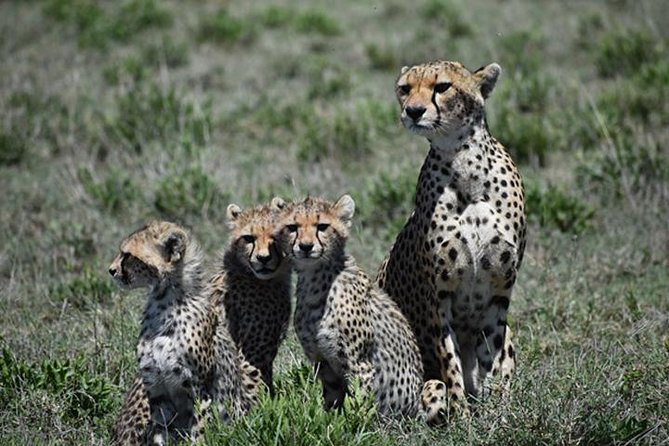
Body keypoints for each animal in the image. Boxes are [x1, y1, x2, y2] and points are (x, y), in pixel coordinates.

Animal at [109, 221, 262, 445]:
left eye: (127, 255)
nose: (111, 270)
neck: (164, 302)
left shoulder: (199, 390)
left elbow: (199, 430)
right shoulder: (157, 389)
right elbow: (158, 432)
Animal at [274, 194, 427, 419]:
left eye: (322, 226)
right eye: (292, 227)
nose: (305, 246)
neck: (316, 278)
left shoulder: (360, 365)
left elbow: (360, 406)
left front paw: (357, 424)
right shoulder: (323, 363)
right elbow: (333, 401)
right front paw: (329, 420)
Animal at [376, 60, 526, 419]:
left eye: (442, 87)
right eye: (404, 88)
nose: (413, 111)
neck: (464, 165)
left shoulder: (500, 290)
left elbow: (491, 359)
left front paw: (494, 414)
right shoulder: (439, 295)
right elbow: (451, 362)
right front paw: (463, 417)